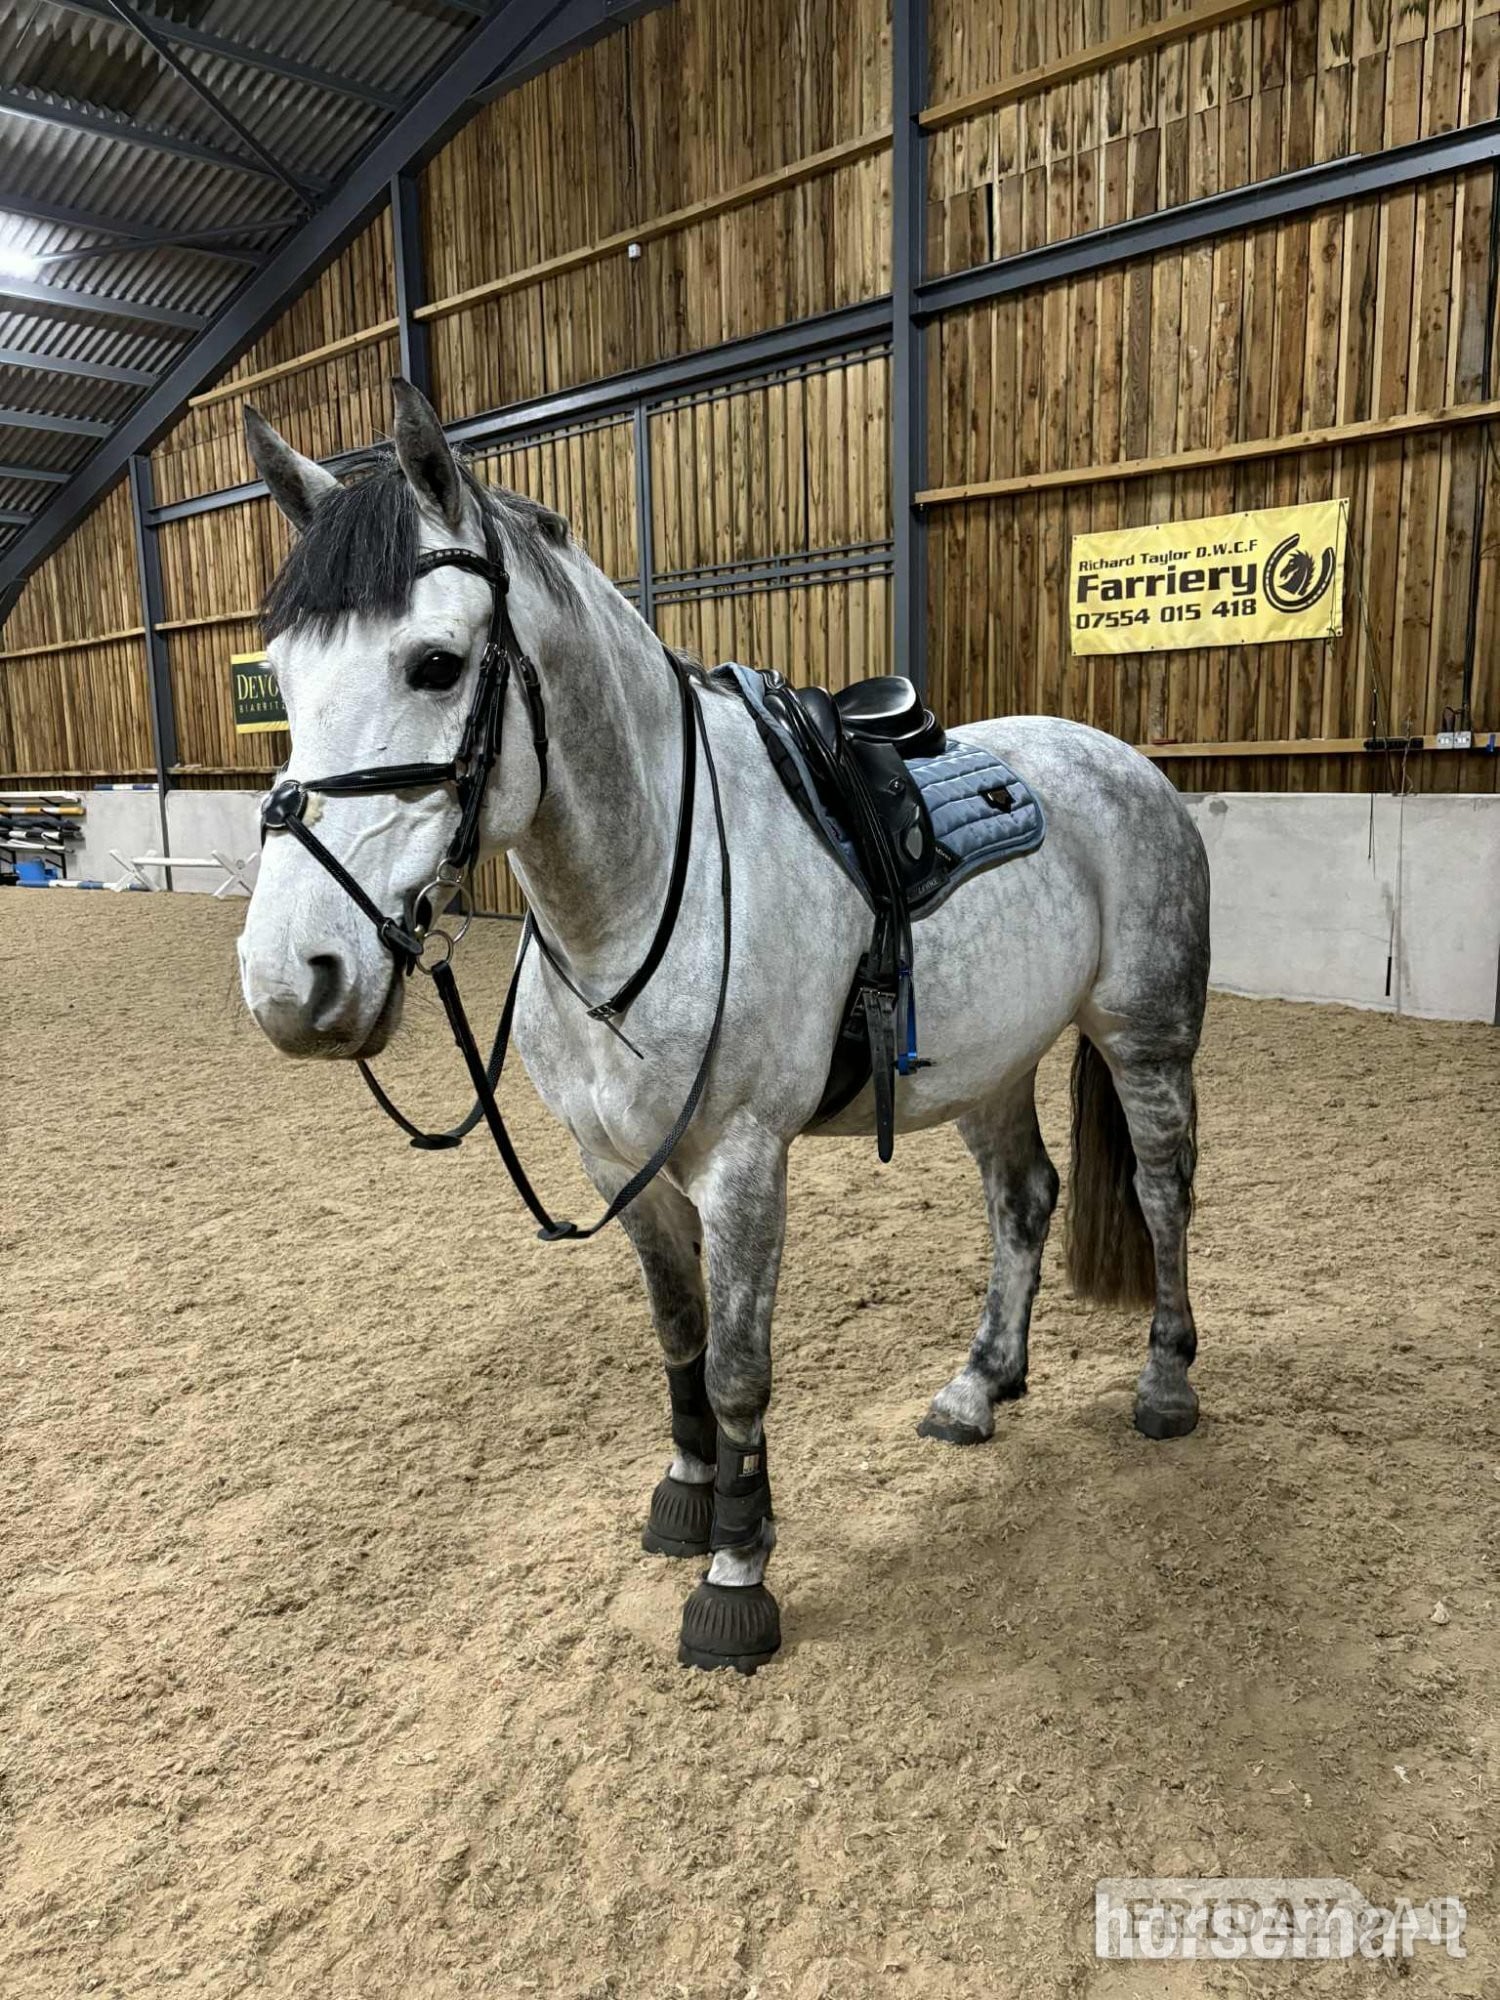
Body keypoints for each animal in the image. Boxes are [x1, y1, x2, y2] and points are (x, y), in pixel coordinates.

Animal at [237, 380, 1210, 1675]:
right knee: (1026, 1199)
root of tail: (1123, 763)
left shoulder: (744, 1163)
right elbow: (679, 1333)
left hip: (1147, 1040)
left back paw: (1165, 1383)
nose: (290, 979)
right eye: (281, 679)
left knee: (1161, 1192)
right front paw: (687, 1495)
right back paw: (979, 1385)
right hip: (993, 1065)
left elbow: (743, 1364)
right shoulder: (623, 1167)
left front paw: (737, 1572)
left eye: (435, 663)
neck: (645, 889)